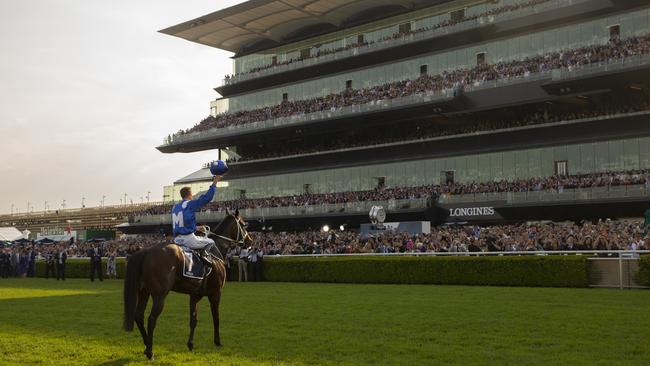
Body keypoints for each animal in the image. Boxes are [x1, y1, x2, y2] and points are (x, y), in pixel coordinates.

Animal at [123, 213, 252, 358]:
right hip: (160, 295)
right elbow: (216, 317)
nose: (250, 241)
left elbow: (193, 320)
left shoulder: (194, 295)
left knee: (138, 316)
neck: (215, 253)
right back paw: (150, 352)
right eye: (243, 225)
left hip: (144, 292)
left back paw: (146, 345)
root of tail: (146, 251)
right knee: (151, 320)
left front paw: (190, 344)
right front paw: (217, 341)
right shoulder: (216, 293)